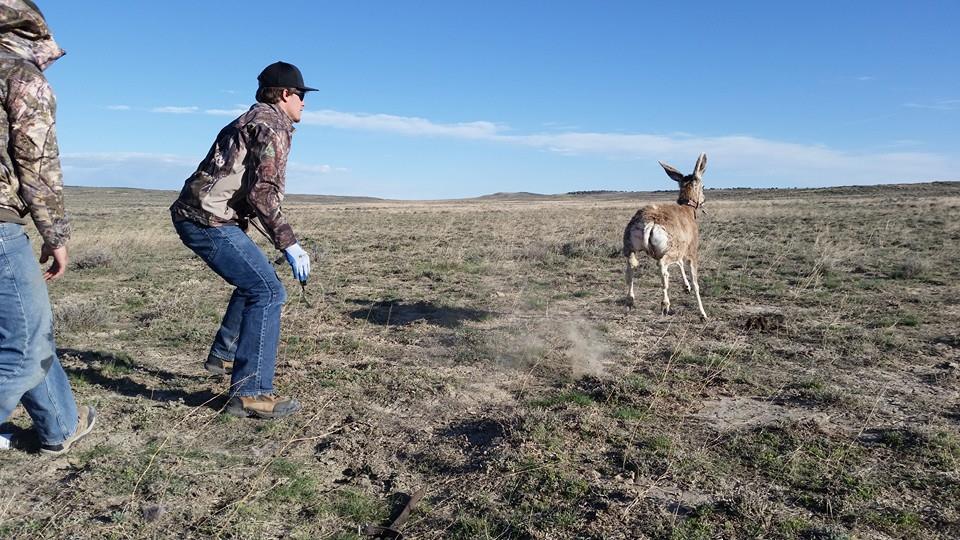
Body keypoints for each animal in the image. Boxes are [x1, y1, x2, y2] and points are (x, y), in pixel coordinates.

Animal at [620, 154, 708, 318]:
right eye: (702, 185)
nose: (704, 200)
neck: (687, 210)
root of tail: (650, 222)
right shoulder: (691, 252)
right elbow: (695, 282)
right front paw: (703, 313)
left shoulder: (680, 251)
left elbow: (680, 264)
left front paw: (686, 287)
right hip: (667, 251)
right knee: (662, 268)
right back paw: (665, 305)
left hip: (629, 248)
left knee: (630, 268)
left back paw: (630, 301)